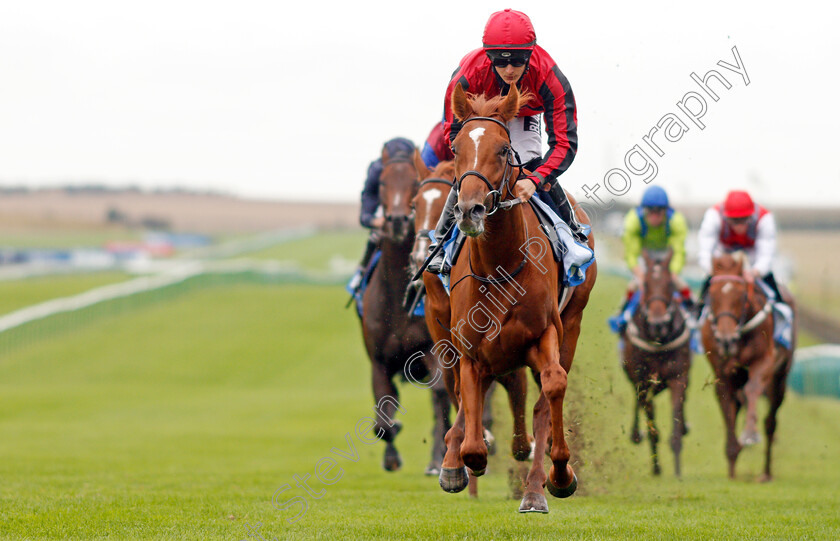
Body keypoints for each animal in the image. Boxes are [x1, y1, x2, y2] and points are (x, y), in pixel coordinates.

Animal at [356, 146, 452, 474]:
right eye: (382, 182)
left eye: (412, 182)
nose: (397, 220)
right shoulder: (379, 360)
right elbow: (383, 413)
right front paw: (391, 454)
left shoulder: (434, 351)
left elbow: (440, 397)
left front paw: (438, 459)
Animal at [436, 82, 592, 512]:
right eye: (455, 147)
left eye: (504, 150)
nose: (470, 210)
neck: (500, 265)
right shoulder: (471, 348)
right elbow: (473, 437)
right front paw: (460, 461)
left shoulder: (545, 334)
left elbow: (552, 387)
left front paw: (560, 474)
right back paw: (453, 460)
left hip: (572, 323)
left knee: (541, 400)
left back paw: (536, 488)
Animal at [624, 247, 688, 474]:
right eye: (646, 284)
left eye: (670, 284)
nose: (658, 323)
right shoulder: (643, 381)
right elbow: (652, 426)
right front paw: (657, 467)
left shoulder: (678, 377)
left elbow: (676, 420)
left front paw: (678, 470)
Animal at [700, 251, 796, 478]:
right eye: (712, 295)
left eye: (741, 294)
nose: (726, 340)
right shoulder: (723, 372)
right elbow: (727, 406)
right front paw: (732, 460)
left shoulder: (763, 361)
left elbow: (753, 390)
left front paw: (750, 434)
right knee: (737, 405)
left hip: (780, 378)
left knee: (771, 422)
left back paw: (766, 472)